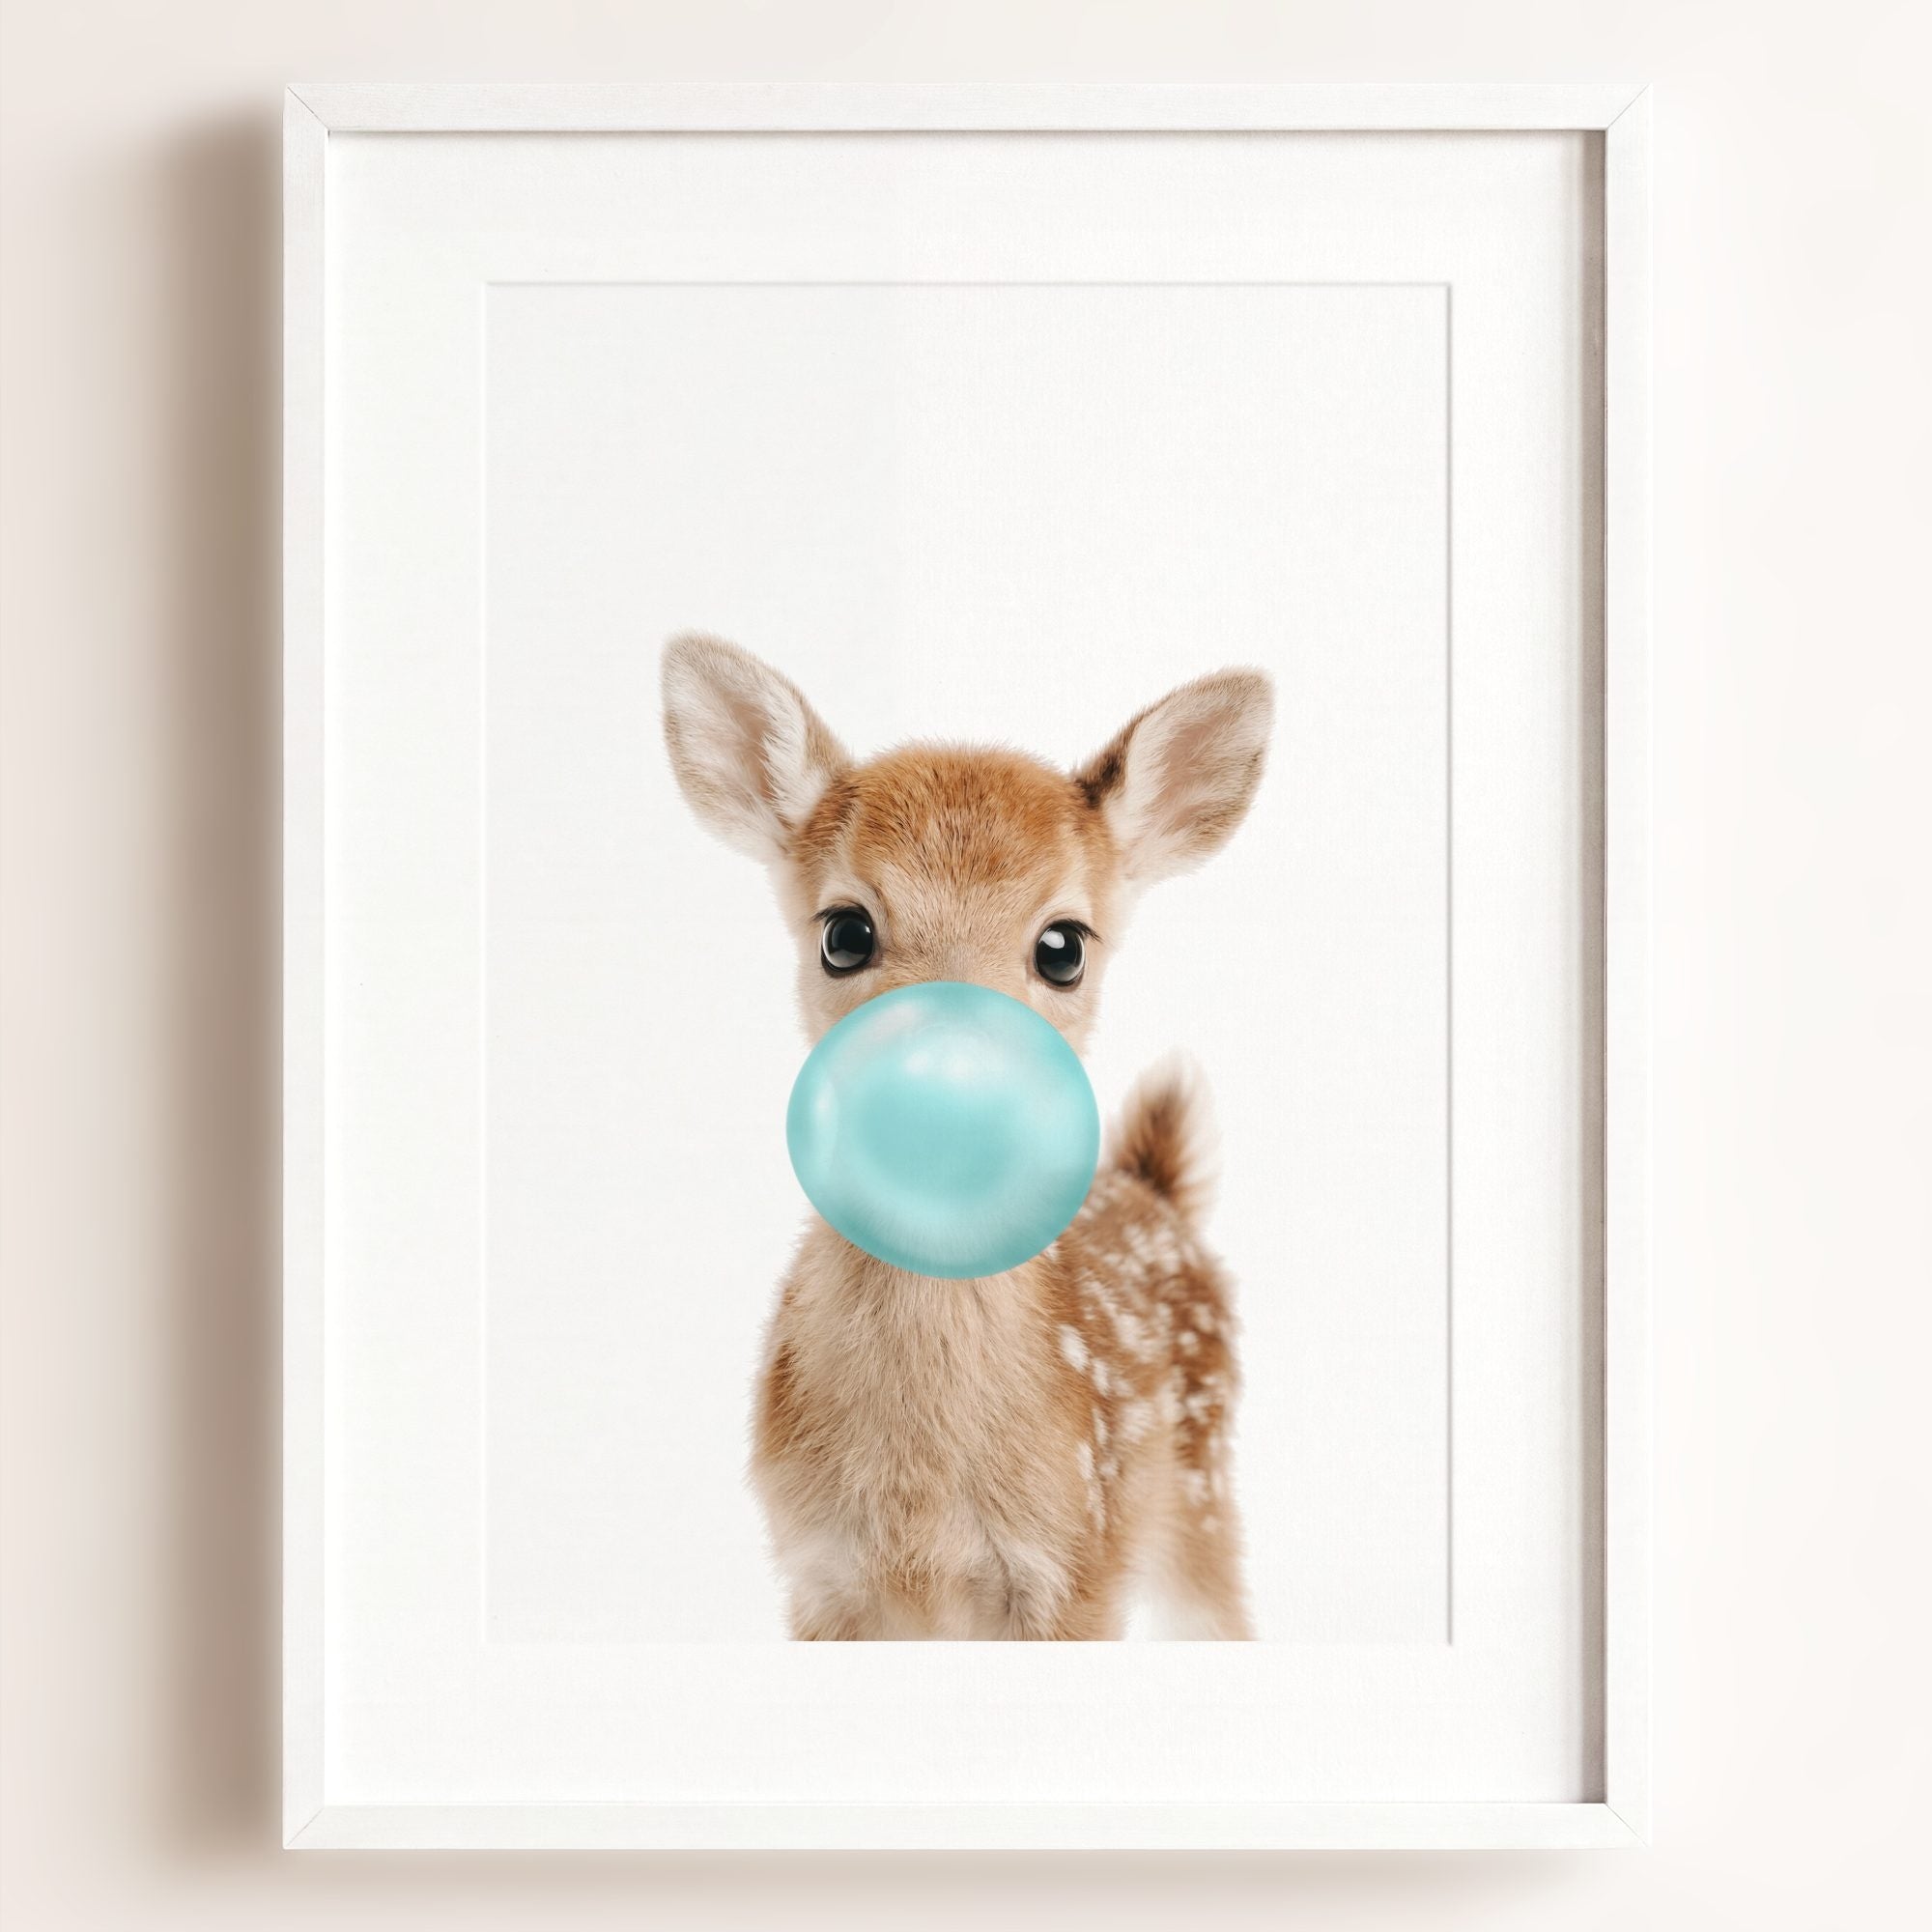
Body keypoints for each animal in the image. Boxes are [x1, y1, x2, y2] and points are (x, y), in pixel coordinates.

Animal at [661, 634, 1273, 1639]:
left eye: (1063, 947)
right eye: (845, 932)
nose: (946, 1089)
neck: (921, 1507)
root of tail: (1156, 1188)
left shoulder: (1077, 1568)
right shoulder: (818, 1577)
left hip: (1203, 1494)